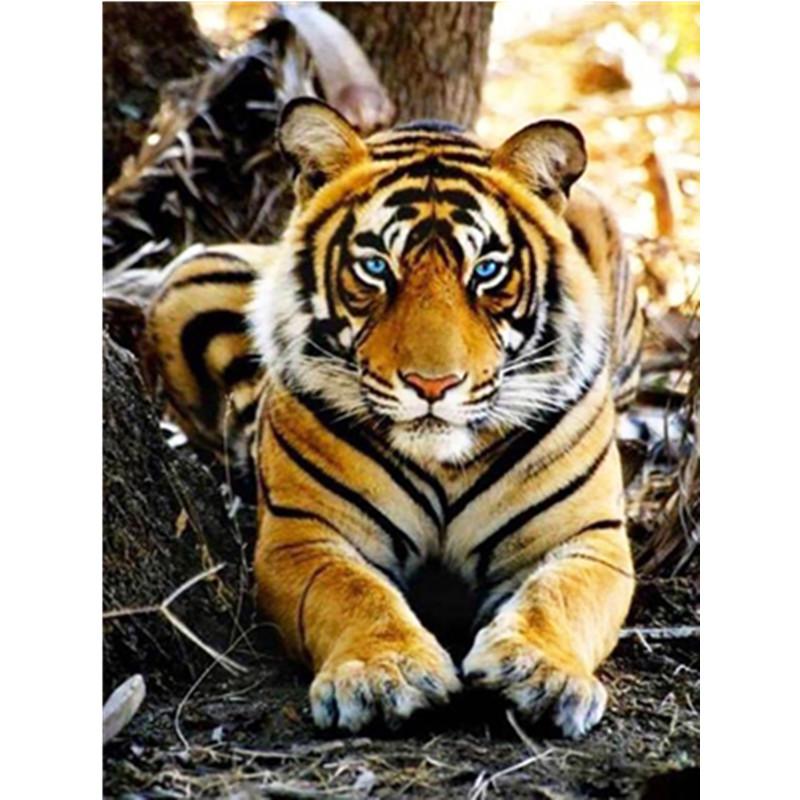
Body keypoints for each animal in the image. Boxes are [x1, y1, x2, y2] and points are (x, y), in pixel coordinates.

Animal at [145, 97, 643, 739]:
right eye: (377, 268)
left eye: (486, 271)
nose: (433, 385)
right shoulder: (304, 534)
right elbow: (354, 592)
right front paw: (384, 676)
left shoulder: (587, 537)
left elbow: (557, 596)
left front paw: (540, 673)